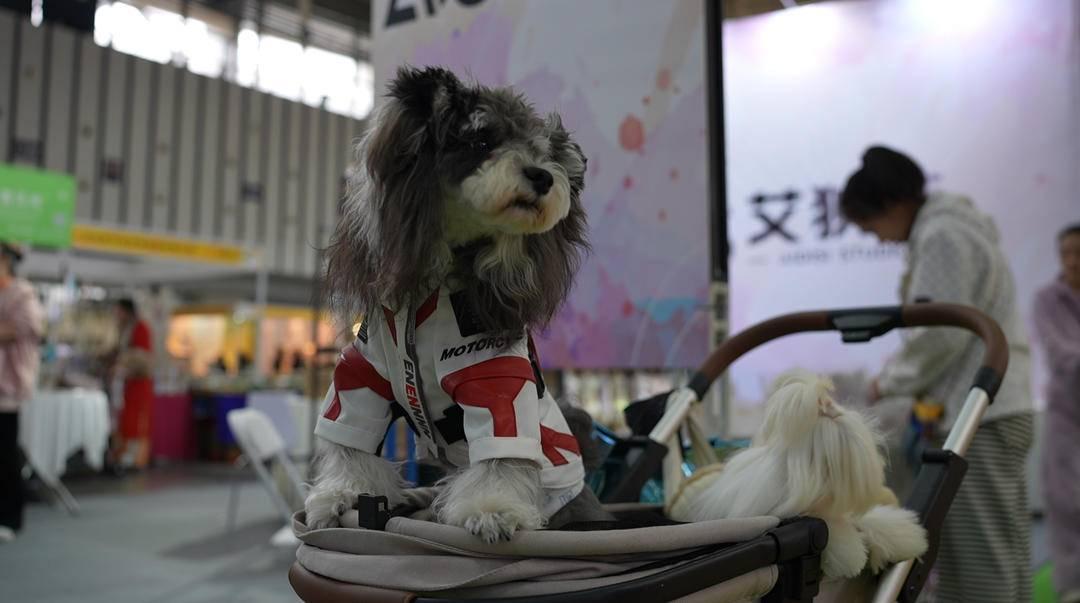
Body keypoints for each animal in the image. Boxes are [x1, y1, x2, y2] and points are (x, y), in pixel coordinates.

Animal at [304, 66, 609, 543]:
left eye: (543, 152)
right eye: (481, 141)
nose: (544, 176)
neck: (432, 286)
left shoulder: (494, 380)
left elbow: (502, 455)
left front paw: (493, 509)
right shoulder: (362, 377)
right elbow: (351, 442)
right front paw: (340, 495)